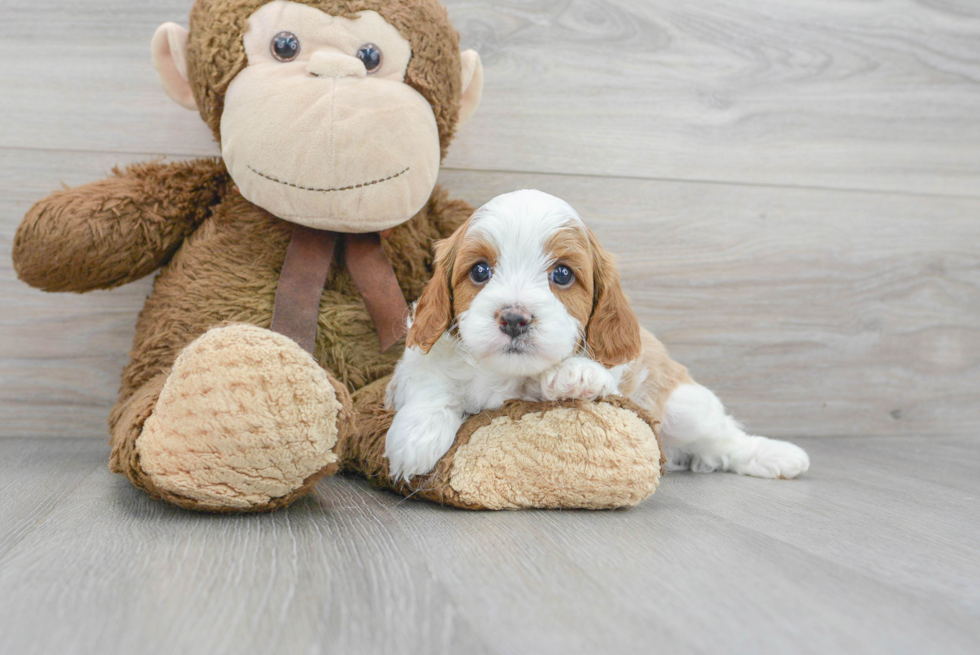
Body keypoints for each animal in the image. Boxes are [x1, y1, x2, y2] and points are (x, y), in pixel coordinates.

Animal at [384, 187, 812, 484]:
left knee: (725, 440)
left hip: (684, 406)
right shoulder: (420, 361)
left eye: (562, 274)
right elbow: (432, 383)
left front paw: (575, 373)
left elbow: (600, 369)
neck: (509, 375)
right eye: (479, 271)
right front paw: (415, 436)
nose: (515, 319)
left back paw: (778, 456)